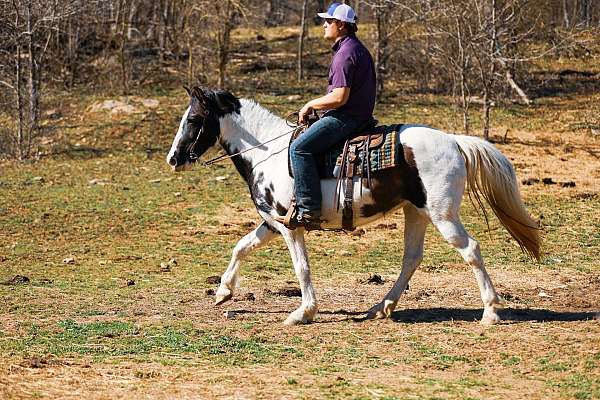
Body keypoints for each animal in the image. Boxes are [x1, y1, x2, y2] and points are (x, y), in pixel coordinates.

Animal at [166, 86, 540, 324]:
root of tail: (453, 141)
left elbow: (301, 267)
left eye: (193, 120)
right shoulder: (273, 222)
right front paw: (223, 291)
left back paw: (490, 312)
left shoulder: (290, 227)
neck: (267, 152)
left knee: (470, 250)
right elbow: (241, 247)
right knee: (411, 258)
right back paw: (381, 307)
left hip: (443, 215)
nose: (173, 159)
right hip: (416, 212)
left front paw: (303, 313)